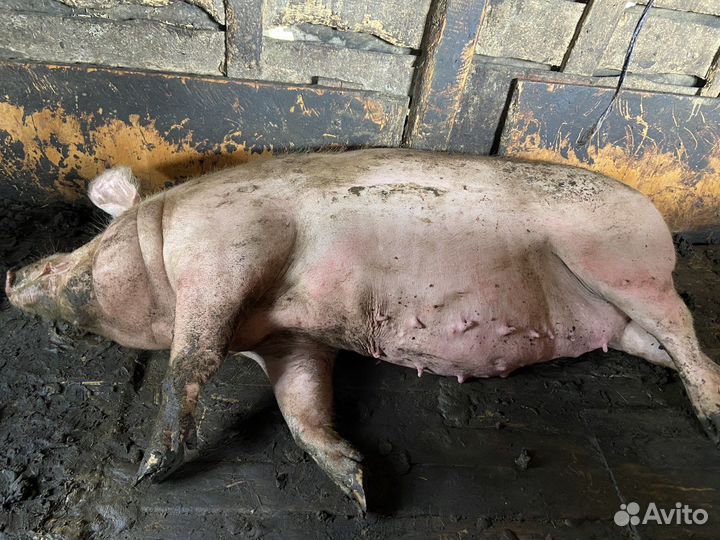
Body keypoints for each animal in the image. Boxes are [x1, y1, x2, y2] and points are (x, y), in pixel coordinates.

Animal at [5, 148, 720, 510]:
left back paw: (712, 421)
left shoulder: (229, 248)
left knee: (685, 329)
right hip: (621, 325)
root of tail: (654, 216)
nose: (10, 274)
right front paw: (362, 490)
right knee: (671, 347)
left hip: (621, 264)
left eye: (90, 245)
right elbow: (301, 404)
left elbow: (191, 358)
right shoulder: (288, 340)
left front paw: (148, 472)